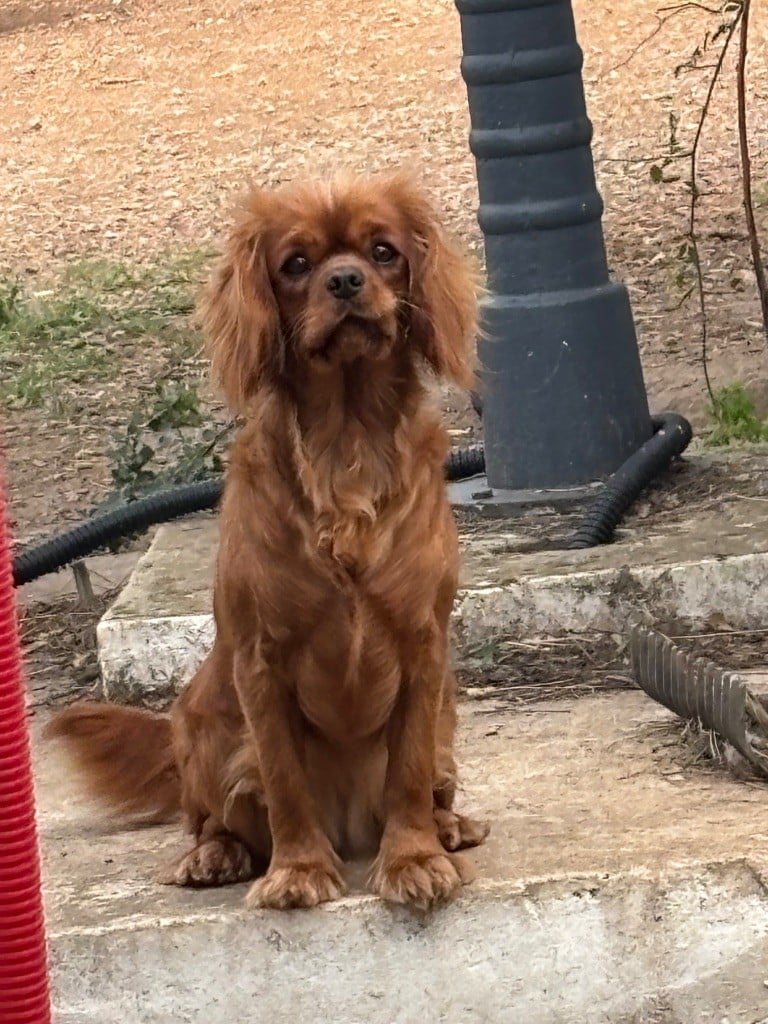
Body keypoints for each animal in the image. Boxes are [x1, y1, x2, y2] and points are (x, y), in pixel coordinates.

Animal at [48, 172, 489, 909]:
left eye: (383, 251)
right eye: (297, 264)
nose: (346, 280)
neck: (345, 446)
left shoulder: (423, 647)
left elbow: (406, 772)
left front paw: (413, 858)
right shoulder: (260, 660)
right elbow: (284, 781)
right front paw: (299, 871)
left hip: (449, 717)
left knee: (433, 781)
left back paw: (449, 826)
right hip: (201, 724)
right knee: (210, 817)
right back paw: (213, 855)